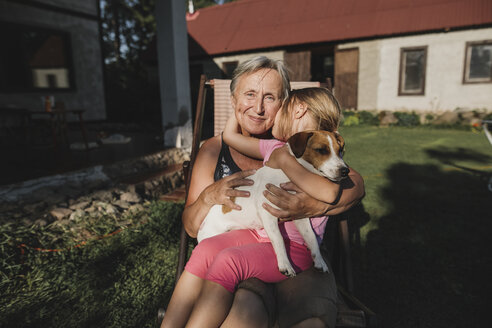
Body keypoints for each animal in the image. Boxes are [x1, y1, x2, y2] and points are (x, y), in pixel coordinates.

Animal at [196, 131, 350, 276]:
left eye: (340, 150)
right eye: (321, 150)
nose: (345, 171)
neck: (290, 175)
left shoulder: (300, 215)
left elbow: (311, 237)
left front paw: (319, 261)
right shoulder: (267, 213)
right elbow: (279, 238)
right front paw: (285, 265)